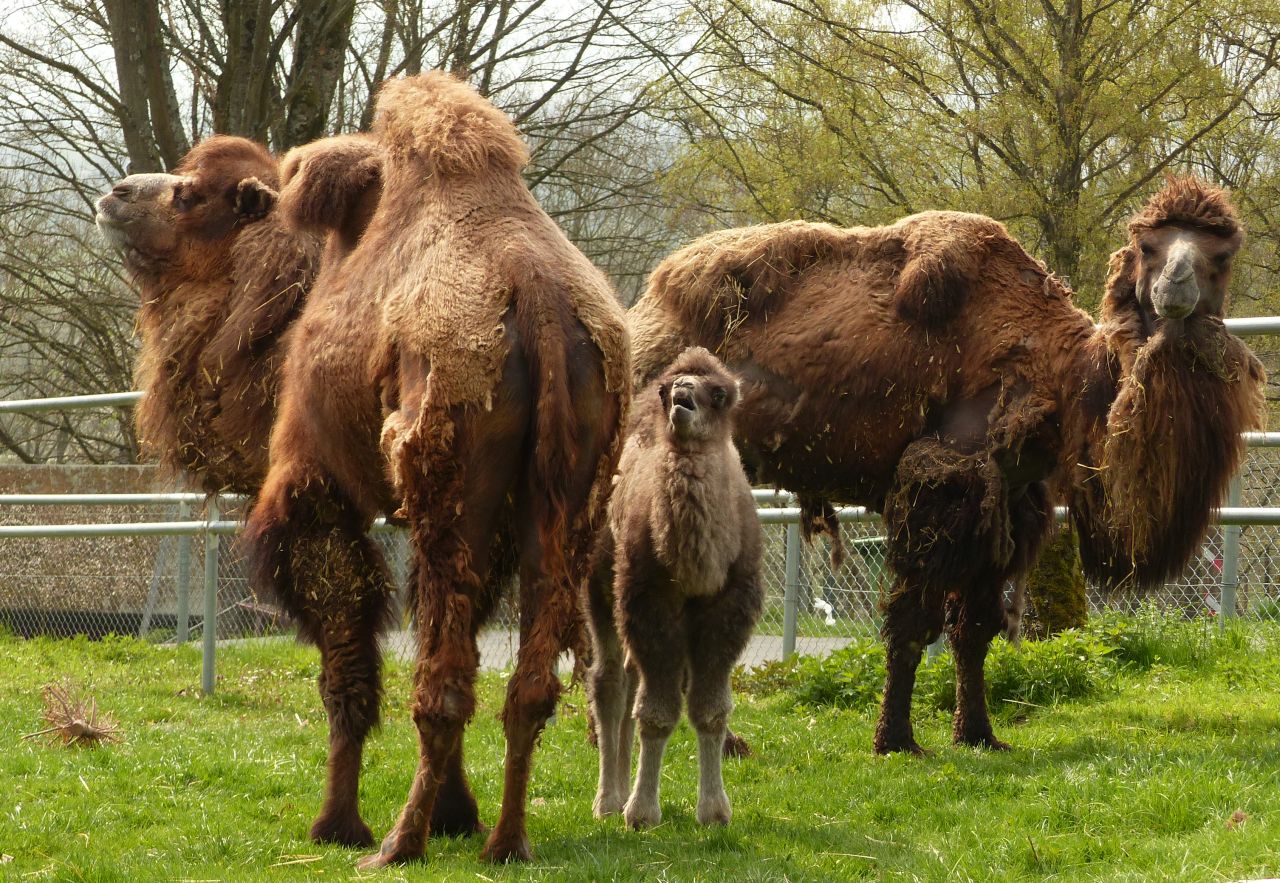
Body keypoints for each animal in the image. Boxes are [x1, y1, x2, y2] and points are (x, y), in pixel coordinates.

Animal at [244, 70, 629, 865]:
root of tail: (538, 302)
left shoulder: (314, 478)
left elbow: (346, 640)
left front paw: (335, 823)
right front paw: (459, 813)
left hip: (450, 487)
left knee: (442, 680)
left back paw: (397, 843)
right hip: (566, 493)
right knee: (524, 679)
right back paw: (505, 840)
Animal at [586, 342, 762, 824]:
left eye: (718, 394)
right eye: (668, 391)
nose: (683, 392)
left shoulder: (729, 607)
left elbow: (710, 710)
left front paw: (715, 811)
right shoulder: (648, 597)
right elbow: (658, 713)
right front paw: (642, 812)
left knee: (630, 676)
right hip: (599, 589)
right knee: (609, 680)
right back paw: (609, 800)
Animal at [624, 176, 1264, 747]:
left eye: (1221, 254)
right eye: (1149, 246)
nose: (1175, 286)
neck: (1060, 373)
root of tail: (641, 314)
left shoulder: (1008, 505)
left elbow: (973, 631)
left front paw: (979, 734)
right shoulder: (940, 483)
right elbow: (912, 625)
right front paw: (896, 740)